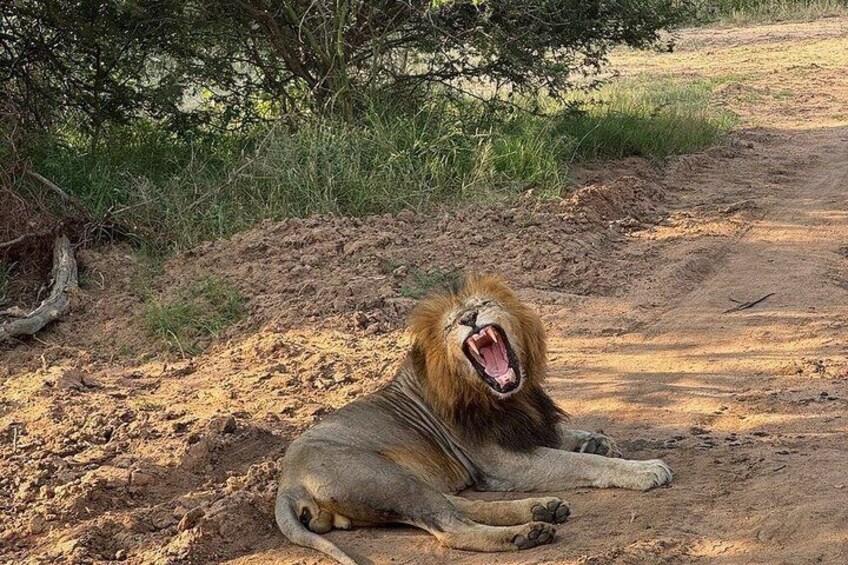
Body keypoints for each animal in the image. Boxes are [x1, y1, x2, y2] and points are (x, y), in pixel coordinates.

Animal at [276, 274, 672, 564]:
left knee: (461, 505)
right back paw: (528, 533)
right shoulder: (503, 462)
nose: (469, 319)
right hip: (387, 479)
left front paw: (600, 441)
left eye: (483, 305)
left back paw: (543, 509)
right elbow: (577, 462)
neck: (508, 397)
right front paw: (643, 469)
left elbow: (567, 437)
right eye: (454, 323)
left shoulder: (524, 428)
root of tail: (287, 484)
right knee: (452, 527)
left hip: (404, 483)